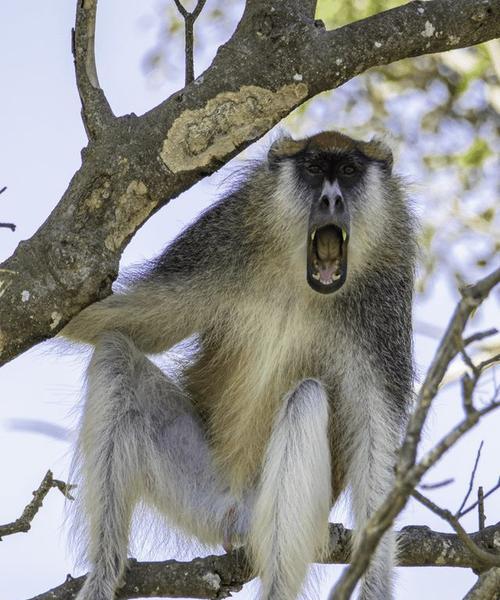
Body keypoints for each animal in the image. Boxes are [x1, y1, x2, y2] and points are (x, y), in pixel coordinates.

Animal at [61, 129, 414, 596]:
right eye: (313, 168)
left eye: (350, 170)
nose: (332, 200)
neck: (300, 282)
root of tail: (233, 512)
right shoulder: (220, 240)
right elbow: (138, 320)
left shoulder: (384, 303)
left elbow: (375, 438)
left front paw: (374, 584)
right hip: (201, 488)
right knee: (116, 355)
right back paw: (104, 571)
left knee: (306, 399)